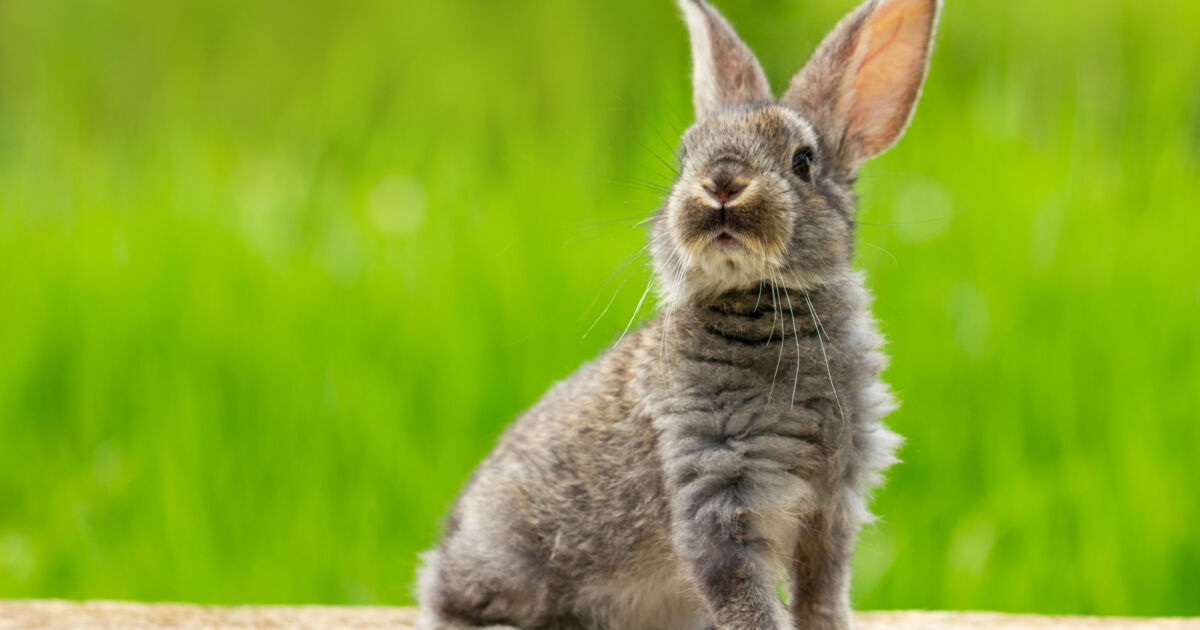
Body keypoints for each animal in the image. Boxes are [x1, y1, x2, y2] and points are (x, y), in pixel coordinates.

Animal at [416, 0, 941, 628]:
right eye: (684, 157)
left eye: (803, 162)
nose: (722, 184)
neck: (758, 303)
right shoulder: (713, 487)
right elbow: (744, 594)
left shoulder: (830, 504)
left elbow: (821, 592)